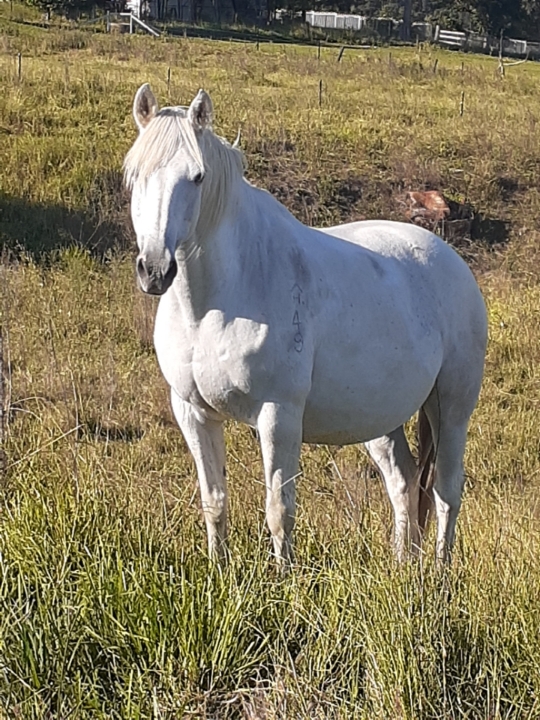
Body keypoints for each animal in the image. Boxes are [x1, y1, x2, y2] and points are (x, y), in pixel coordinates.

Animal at [124, 84, 487, 565]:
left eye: (198, 177)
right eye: (134, 175)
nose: (154, 270)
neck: (215, 306)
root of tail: (451, 260)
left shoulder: (278, 416)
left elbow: (279, 509)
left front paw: (283, 579)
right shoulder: (193, 412)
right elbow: (214, 501)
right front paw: (218, 571)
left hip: (452, 408)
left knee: (446, 491)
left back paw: (438, 578)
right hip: (380, 417)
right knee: (404, 482)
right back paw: (402, 568)